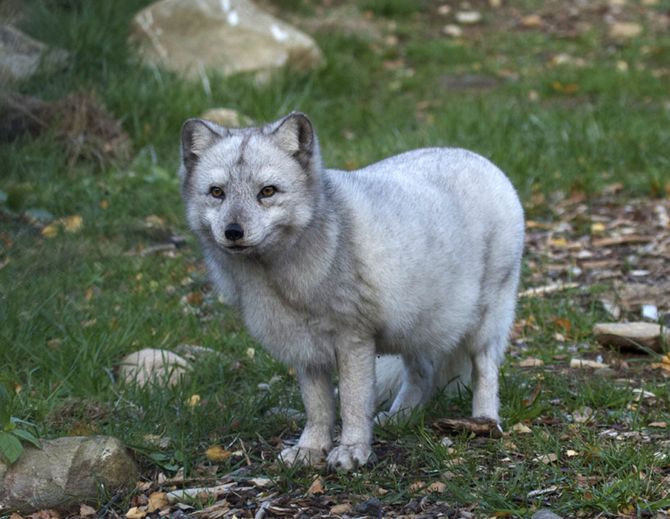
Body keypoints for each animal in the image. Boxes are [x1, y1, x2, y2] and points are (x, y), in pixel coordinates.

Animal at [181, 112, 528, 472]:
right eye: (217, 192)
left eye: (267, 191)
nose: (233, 232)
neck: (275, 276)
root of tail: (481, 159)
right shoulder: (305, 349)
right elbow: (317, 407)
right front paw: (310, 449)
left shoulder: (354, 339)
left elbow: (351, 401)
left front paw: (351, 450)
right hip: (416, 324)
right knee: (424, 373)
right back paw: (401, 417)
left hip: (484, 320)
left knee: (485, 369)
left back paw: (484, 420)